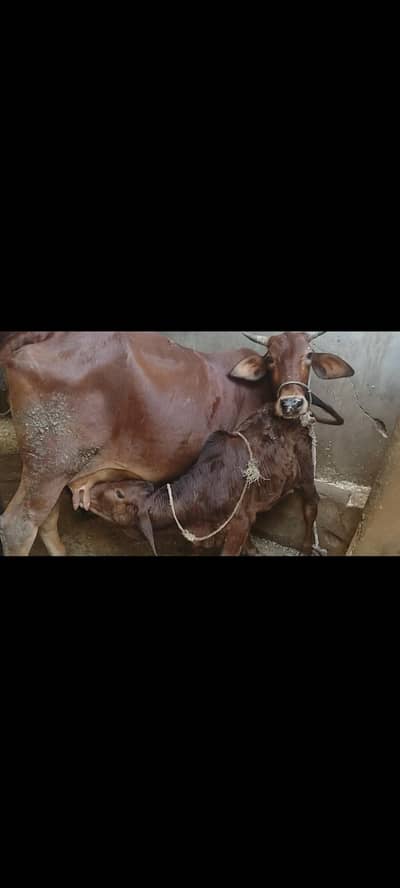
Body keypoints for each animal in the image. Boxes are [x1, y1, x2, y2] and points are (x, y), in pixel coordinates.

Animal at [84, 404, 325, 556]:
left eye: (119, 494)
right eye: (120, 484)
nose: (90, 490)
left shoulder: (239, 524)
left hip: (306, 468)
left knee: (311, 506)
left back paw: (306, 548)